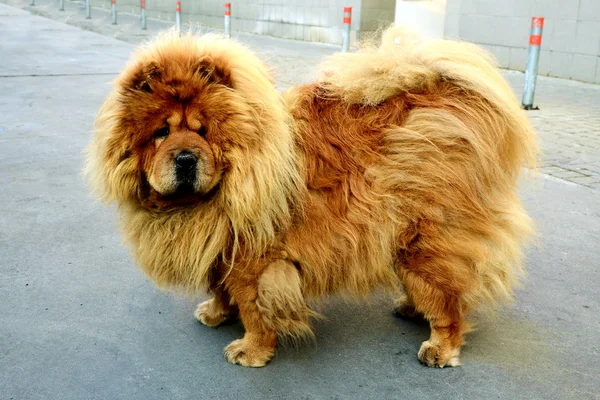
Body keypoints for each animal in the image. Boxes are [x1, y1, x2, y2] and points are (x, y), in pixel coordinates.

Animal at [85, 26, 540, 368]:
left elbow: (253, 307)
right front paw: (215, 314)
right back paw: (410, 308)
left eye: (203, 131)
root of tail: (449, 100)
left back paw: (439, 348)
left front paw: (251, 351)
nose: (184, 158)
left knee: (449, 302)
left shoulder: (255, 261)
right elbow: (220, 288)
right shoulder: (222, 248)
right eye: (161, 132)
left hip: (426, 241)